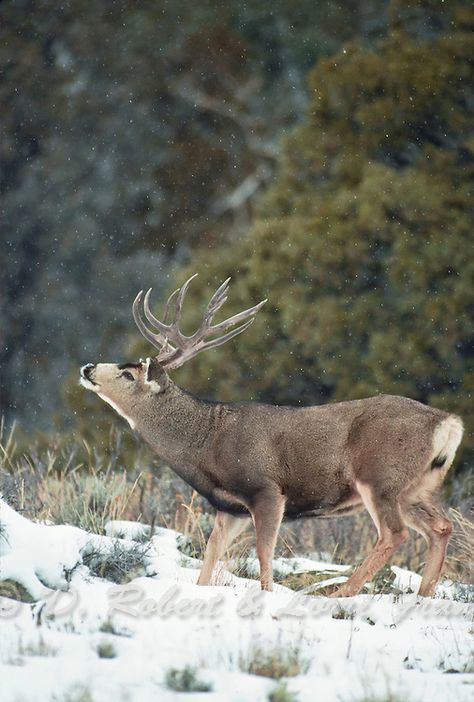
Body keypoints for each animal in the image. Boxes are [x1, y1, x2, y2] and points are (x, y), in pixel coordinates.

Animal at [80, 276, 462, 600]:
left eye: (128, 374)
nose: (87, 368)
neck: (206, 442)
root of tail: (448, 421)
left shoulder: (265, 489)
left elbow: (265, 554)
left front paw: (266, 597)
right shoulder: (229, 507)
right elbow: (210, 556)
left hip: (379, 475)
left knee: (394, 533)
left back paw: (340, 594)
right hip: (415, 487)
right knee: (440, 527)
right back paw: (422, 596)